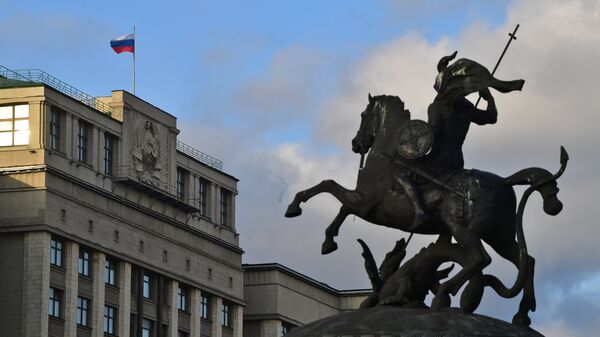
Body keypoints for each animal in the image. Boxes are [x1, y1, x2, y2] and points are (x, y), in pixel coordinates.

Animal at [286, 93, 568, 324]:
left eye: (364, 115)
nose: (356, 144)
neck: (385, 159)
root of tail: (505, 181)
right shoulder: (362, 204)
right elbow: (339, 205)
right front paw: (327, 240)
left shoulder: (364, 204)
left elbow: (330, 188)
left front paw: (299, 211)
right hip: (499, 234)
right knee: (526, 260)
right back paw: (521, 314)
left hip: (462, 226)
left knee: (480, 258)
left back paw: (444, 294)